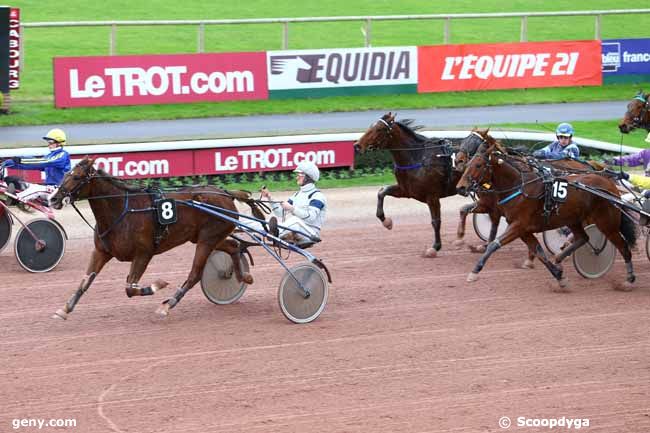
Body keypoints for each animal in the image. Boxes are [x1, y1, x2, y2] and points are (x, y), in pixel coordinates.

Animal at [50, 157, 264, 318]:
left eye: (77, 177)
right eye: (65, 174)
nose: (53, 199)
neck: (122, 211)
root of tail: (226, 193)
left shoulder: (144, 253)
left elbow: (130, 288)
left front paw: (158, 285)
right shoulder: (101, 251)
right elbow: (85, 281)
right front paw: (65, 308)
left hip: (207, 240)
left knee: (194, 274)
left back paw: (169, 304)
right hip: (207, 237)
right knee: (234, 246)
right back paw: (242, 276)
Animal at [354, 113, 460, 258]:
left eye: (379, 129)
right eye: (371, 126)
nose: (357, 145)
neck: (417, 158)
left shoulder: (432, 196)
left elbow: (436, 221)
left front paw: (435, 247)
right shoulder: (407, 191)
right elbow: (382, 191)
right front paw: (386, 221)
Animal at [456, 135, 632, 290]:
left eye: (478, 165)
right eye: (470, 162)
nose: (461, 186)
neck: (520, 187)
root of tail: (609, 184)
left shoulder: (518, 225)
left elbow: (494, 244)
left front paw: (474, 271)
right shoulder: (523, 229)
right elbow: (539, 252)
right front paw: (560, 278)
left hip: (606, 223)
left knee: (623, 247)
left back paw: (628, 280)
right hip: (573, 219)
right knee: (583, 237)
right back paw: (560, 258)